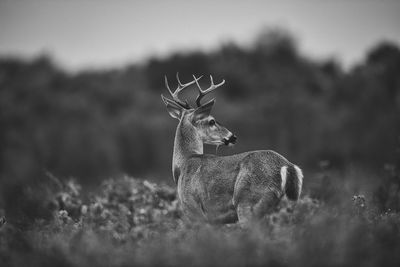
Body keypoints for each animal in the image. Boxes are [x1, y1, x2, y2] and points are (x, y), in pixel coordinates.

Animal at [161, 74, 302, 226]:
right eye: (212, 121)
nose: (232, 136)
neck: (183, 163)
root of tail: (287, 166)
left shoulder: (194, 210)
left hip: (248, 202)